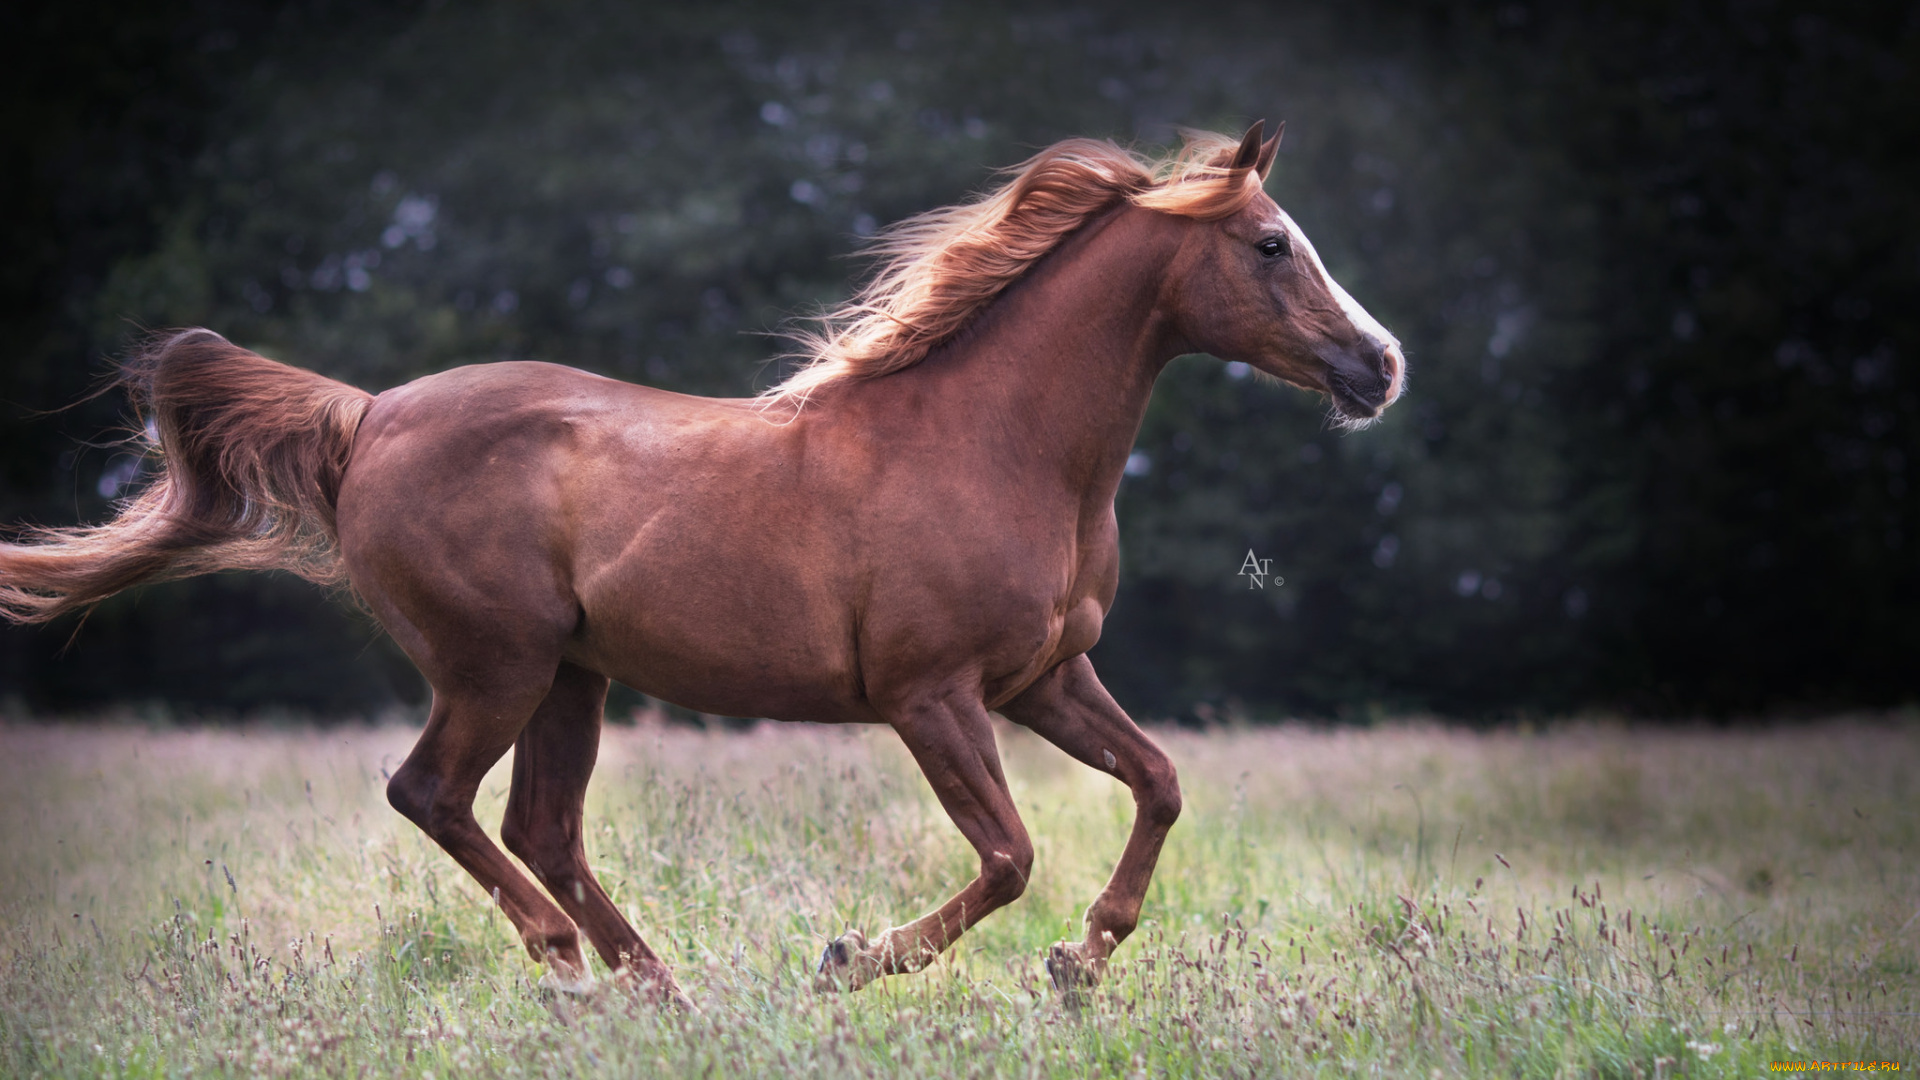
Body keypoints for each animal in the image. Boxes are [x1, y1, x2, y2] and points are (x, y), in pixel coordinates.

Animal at [0, 121, 1402, 1005]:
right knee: (435, 797)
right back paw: (574, 971)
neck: (997, 443)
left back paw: (658, 990)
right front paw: (849, 963)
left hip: (571, 679)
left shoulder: (1046, 680)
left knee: (541, 825)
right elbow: (1008, 855)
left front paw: (1076, 966)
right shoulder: (932, 696)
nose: (1379, 367)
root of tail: (369, 418)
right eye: (1271, 244)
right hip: (494, 666)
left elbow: (1159, 784)